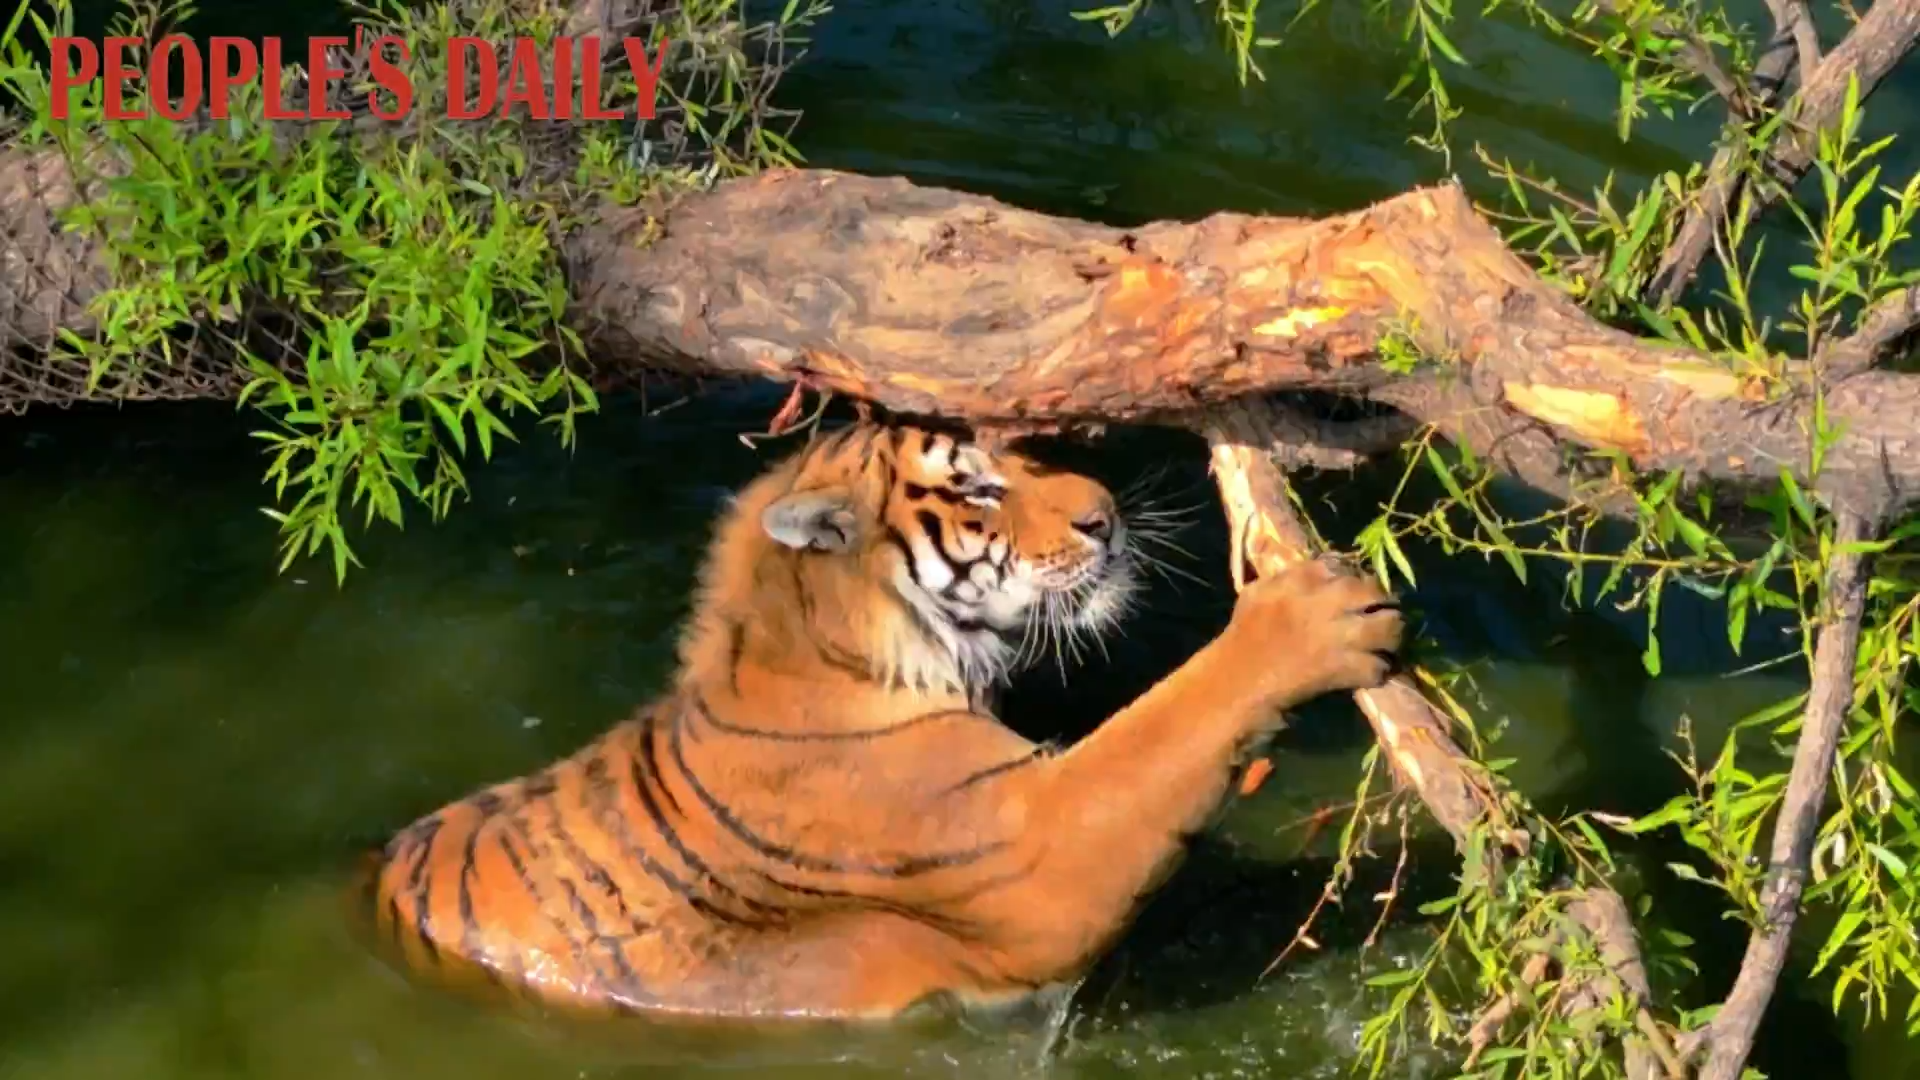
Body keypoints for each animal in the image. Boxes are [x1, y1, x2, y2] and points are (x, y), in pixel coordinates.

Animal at [366, 420, 1404, 1022]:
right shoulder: (1043, 850)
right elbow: (1167, 725)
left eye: (1027, 456)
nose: (1106, 516)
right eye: (978, 487)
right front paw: (1310, 618)